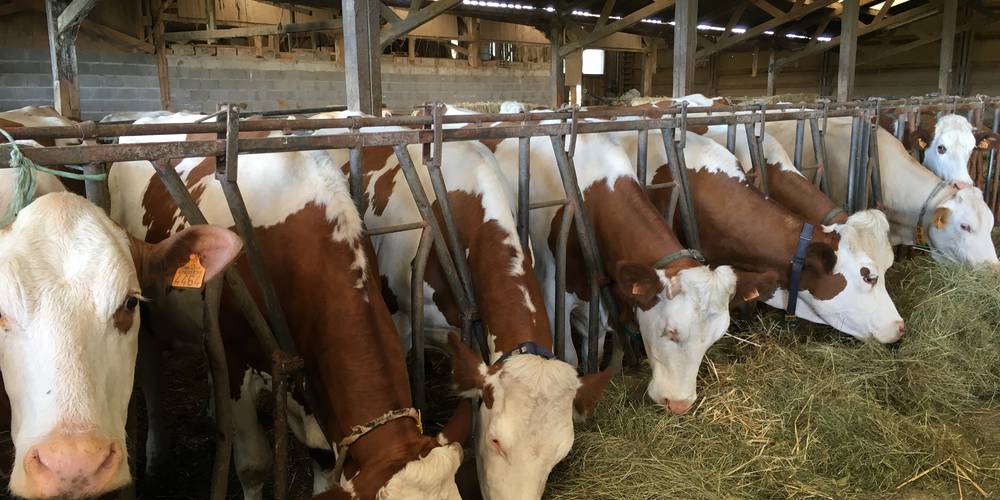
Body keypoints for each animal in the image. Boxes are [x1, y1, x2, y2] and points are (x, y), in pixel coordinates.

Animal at [472, 106, 738, 416]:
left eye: (715, 338)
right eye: (671, 332)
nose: (679, 404)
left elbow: (603, 346)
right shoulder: (552, 291)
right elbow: (571, 358)